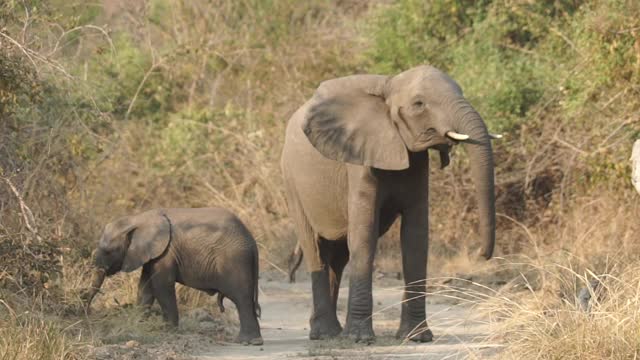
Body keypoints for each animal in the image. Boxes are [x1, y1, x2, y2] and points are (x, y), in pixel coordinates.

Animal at [82, 207, 262, 344]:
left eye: (108, 251)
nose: (86, 311)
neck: (138, 219)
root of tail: (252, 241)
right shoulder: (153, 254)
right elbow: (145, 288)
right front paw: (138, 324)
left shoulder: (166, 252)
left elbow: (161, 286)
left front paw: (167, 330)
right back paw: (253, 341)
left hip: (235, 261)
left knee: (241, 298)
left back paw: (246, 341)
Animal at [282, 64, 500, 344]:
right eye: (419, 104)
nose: (481, 254)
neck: (389, 84)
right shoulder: (359, 158)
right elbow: (364, 234)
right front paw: (360, 339)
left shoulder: (416, 161)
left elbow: (416, 236)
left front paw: (417, 338)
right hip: (291, 183)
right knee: (315, 247)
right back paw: (326, 334)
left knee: (337, 257)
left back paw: (333, 333)